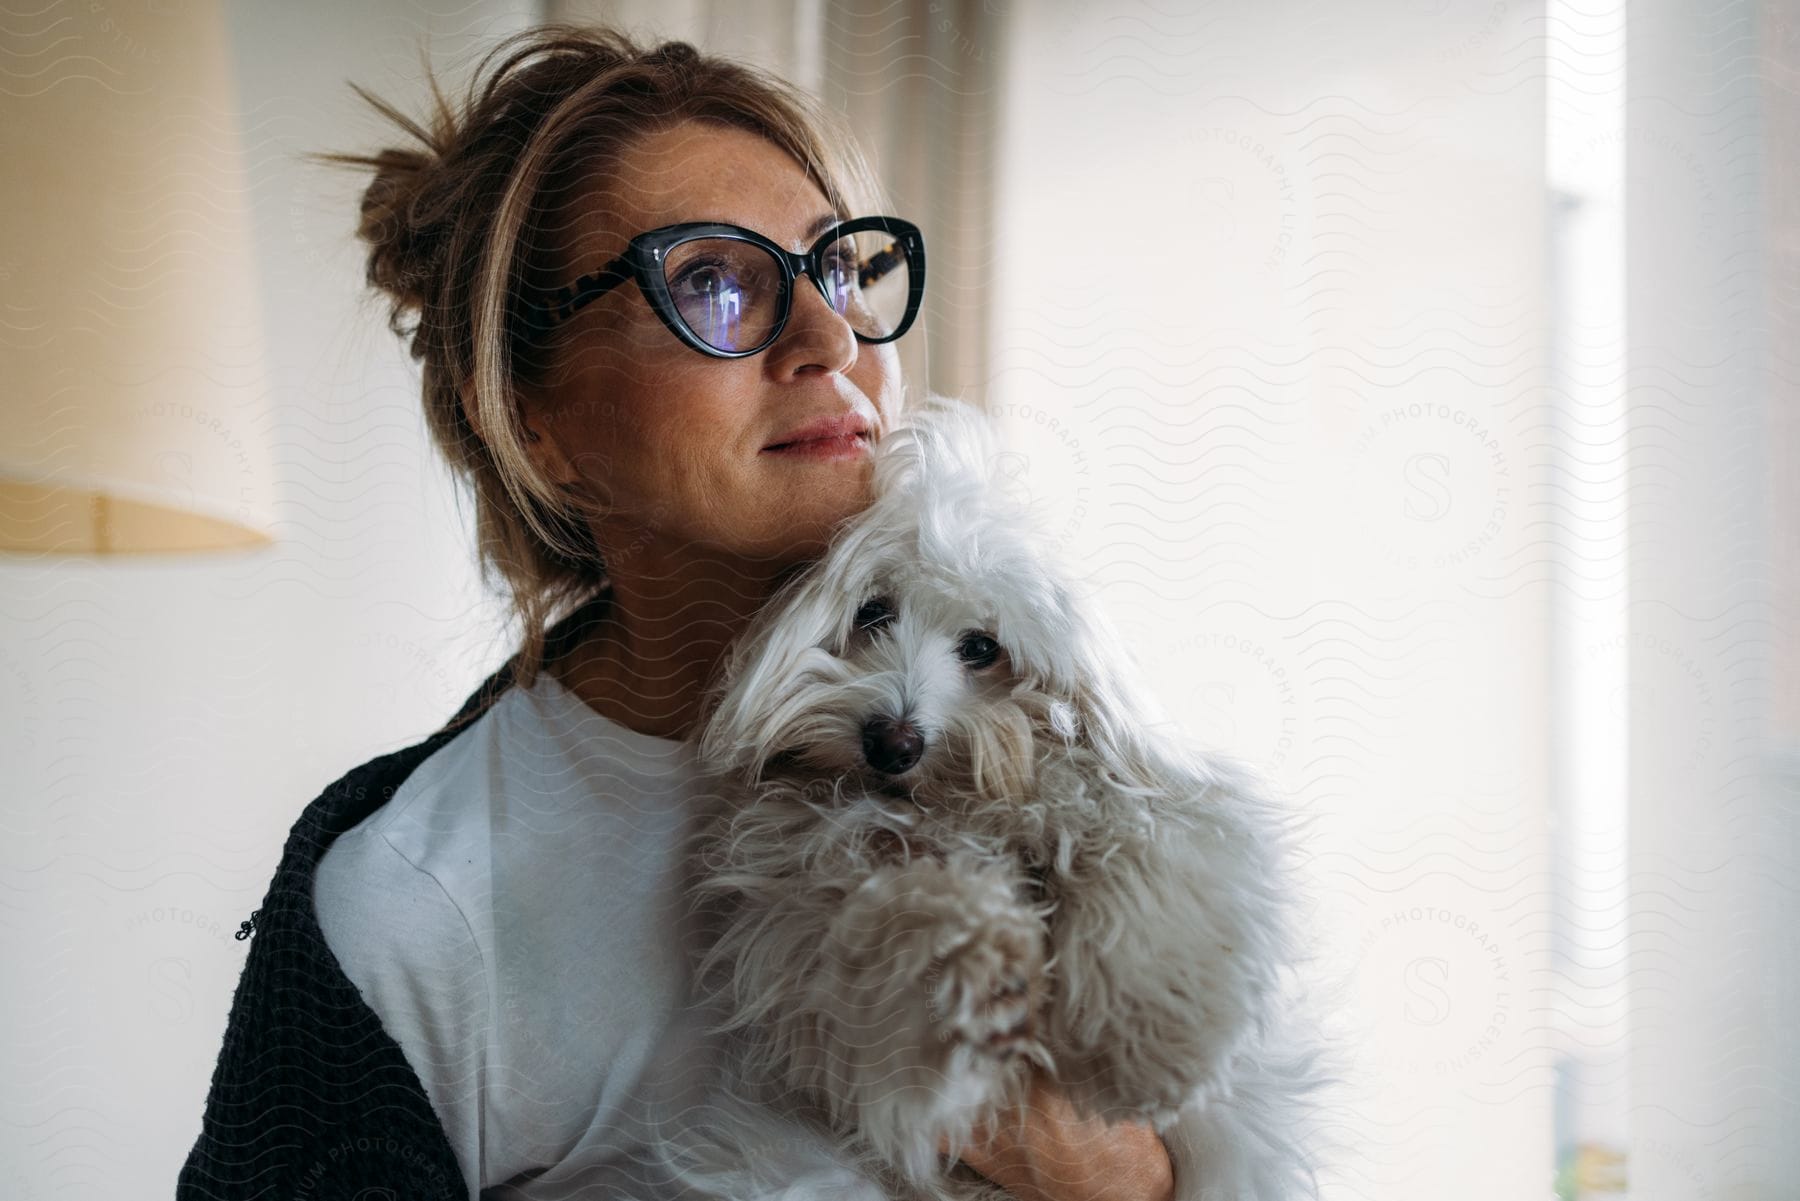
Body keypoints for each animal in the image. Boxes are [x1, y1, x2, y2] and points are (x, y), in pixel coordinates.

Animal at [651, 396, 1339, 1201]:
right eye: (872, 613)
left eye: (982, 648)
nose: (893, 742)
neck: (954, 804)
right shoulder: (803, 913)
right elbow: (888, 915)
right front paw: (975, 966)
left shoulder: (1149, 809)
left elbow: (1147, 873)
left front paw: (1158, 1047)